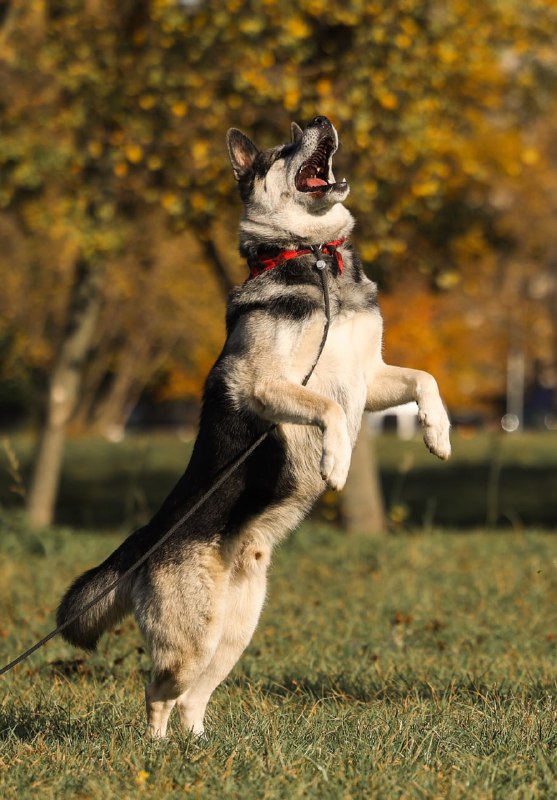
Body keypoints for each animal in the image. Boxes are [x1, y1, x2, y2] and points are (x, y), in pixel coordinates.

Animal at [56, 114, 450, 736]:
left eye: (303, 128)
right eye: (286, 145)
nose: (321, 119)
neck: (314, 257)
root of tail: (145, 541)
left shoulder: (370, 377)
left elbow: (425, 380)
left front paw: (438, 433)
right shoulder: (263, 384)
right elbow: (329, 412)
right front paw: (336, 465)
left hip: (235, 632)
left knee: (192, 699)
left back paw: (198, 745)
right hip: (192, 639)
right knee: (156, 692)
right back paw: (154, 748)